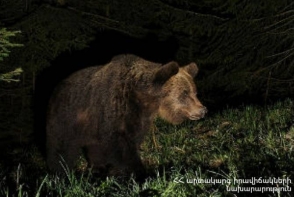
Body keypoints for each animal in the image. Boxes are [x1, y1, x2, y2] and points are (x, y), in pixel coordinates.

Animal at [46, 54, 207, 177]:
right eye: (184, 93)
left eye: (195, 92)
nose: (202, 110)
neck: (143, 99)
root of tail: (56, 89)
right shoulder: (114, 109)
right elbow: (121, 144)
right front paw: (138, 172)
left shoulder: (139, 118)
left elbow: (131, 140)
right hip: (66, 118)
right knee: (61, 146)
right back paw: (60, 172)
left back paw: (97, 167)